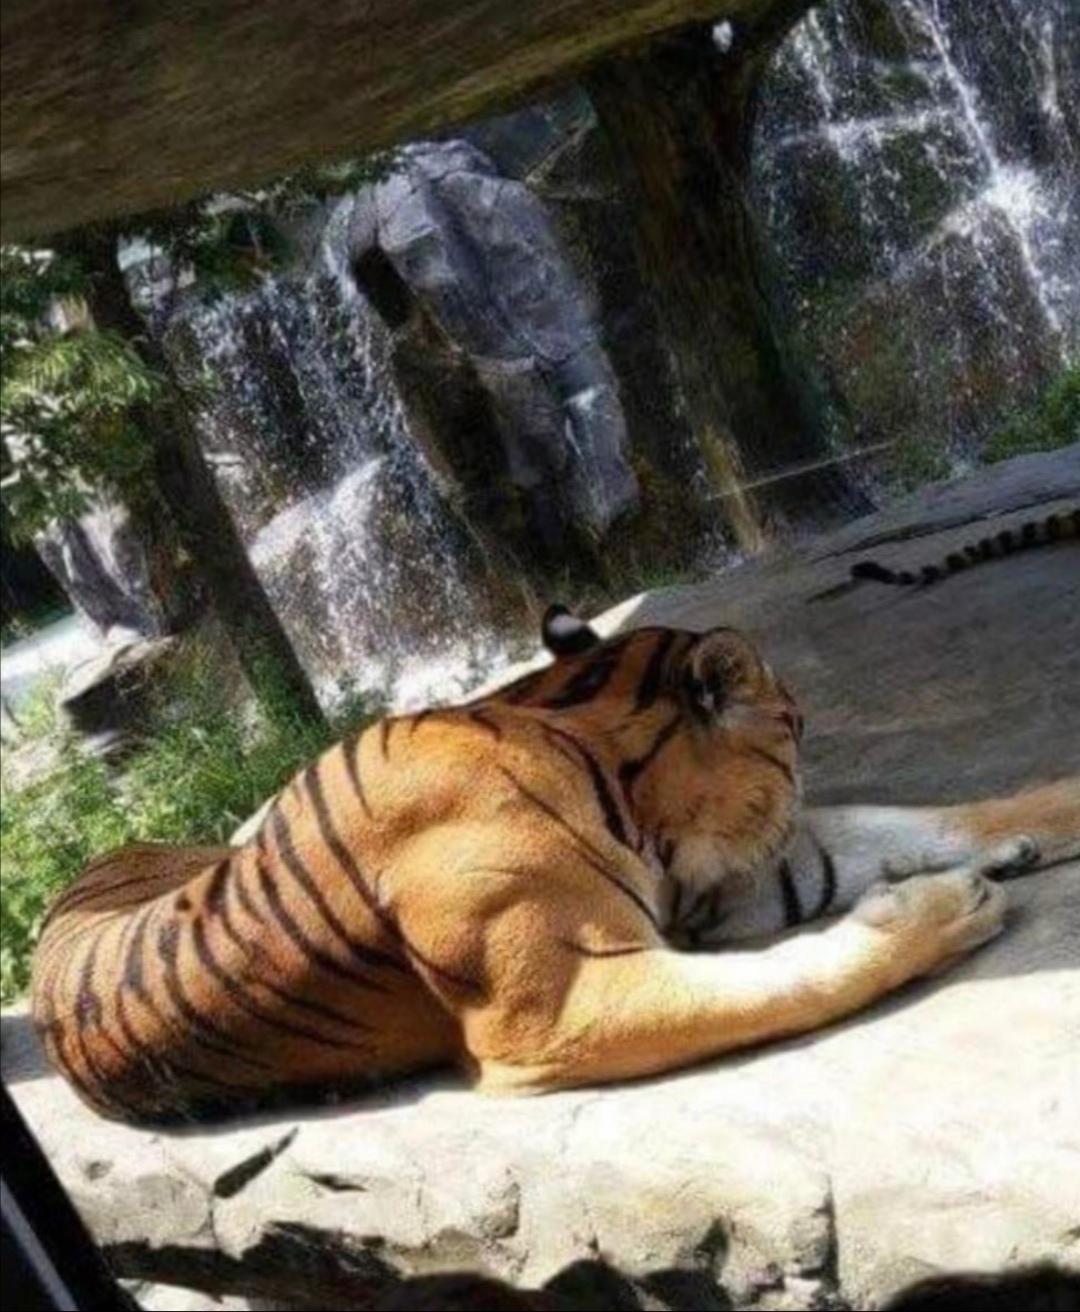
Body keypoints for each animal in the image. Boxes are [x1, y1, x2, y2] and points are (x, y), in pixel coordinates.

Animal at [29, 606, 1080, 1123]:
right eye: (795, 728)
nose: (800, 757)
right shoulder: (565, 1002)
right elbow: (797, 977)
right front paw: (944, 907)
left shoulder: (733, 882)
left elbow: (909, 820)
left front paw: (1040, 819)